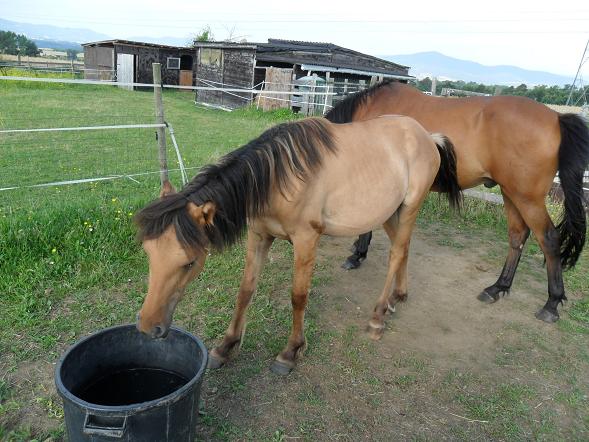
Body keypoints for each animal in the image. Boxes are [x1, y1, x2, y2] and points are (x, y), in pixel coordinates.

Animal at [136, 115, 462, 372]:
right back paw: (398, 296)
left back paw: (378, 316)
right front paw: (226, 347)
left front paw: (290, 352)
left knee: (396, 253)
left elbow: (298, 296)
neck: (279, 177)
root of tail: (427, 136)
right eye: (148, 254)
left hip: (409, 209)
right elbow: (245, 291)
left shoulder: (306, 241)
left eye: (189, 262)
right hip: (388, 214)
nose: (147, 326)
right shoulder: (259, 236)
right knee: (403, 248)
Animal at [326, 82, 588, 322]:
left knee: (549, 239)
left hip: (527, 198)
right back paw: (497, 288)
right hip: (511, 193)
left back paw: (551, 303)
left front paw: (357, 255)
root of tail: (556, 117)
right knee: (518, 236)